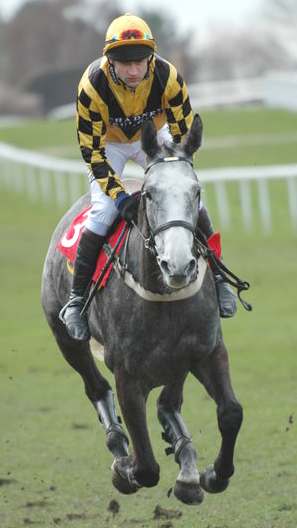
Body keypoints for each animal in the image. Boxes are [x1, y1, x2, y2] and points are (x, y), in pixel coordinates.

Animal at [41, 116, 242, 508]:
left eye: (196, 192)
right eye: (149, 194)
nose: (178, 264)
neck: (163, 295)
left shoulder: (208, 349)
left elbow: (230, 413)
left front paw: (212, 474)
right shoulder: (127, 374)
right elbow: (146, 465)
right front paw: (127, 470)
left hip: (179, 358)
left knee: (169, 400)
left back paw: (184, 461)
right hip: (66, 340)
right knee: (96, 387)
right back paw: (122, 452)